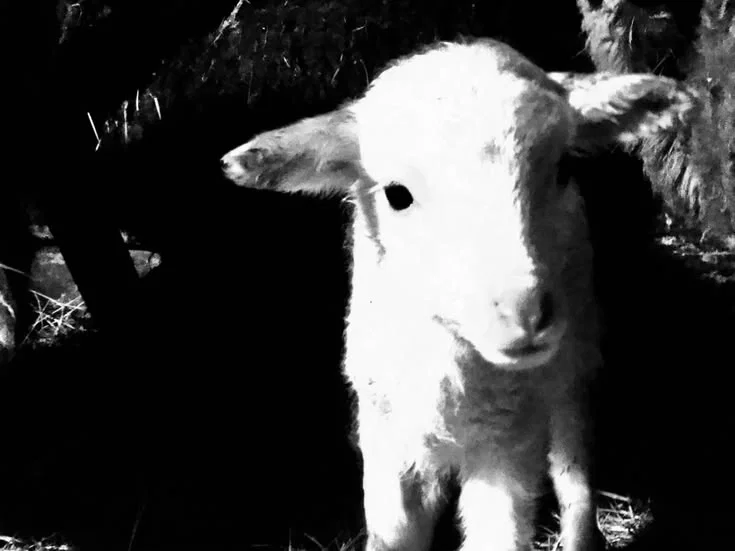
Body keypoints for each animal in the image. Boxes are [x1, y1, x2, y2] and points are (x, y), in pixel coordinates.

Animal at [220, 37, 695, 551]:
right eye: (397, 194)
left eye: (563, 167)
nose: (523, 313)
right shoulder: (386, 433)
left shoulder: (509, 447)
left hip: (576, 350)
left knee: (574, 467)